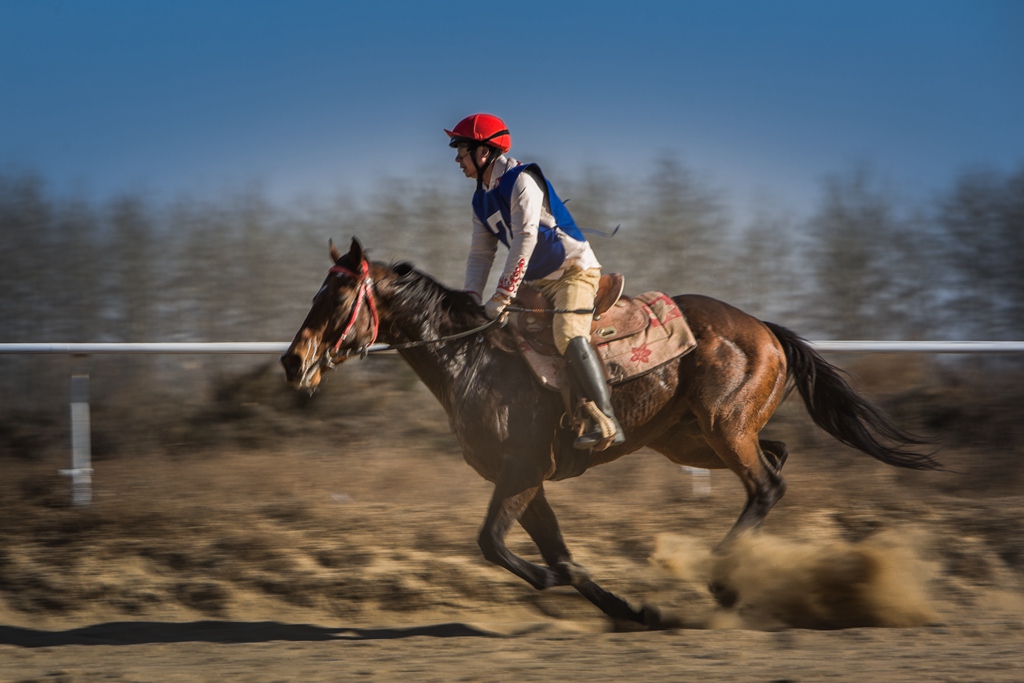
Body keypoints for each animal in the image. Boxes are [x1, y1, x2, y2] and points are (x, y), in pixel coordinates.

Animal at [280, 237, 937, 626]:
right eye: (315, 291)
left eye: (337, 296)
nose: (292, 362)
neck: (473, 358)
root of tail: (765, 330)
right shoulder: (525, 480)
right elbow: (552, 551)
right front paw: (628, 608)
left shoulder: (522, 471)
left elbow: (494, 543)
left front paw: (558, 582)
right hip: (691, 438)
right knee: (775, 459)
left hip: (723, 428)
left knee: (766, 486)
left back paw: (721, 580)